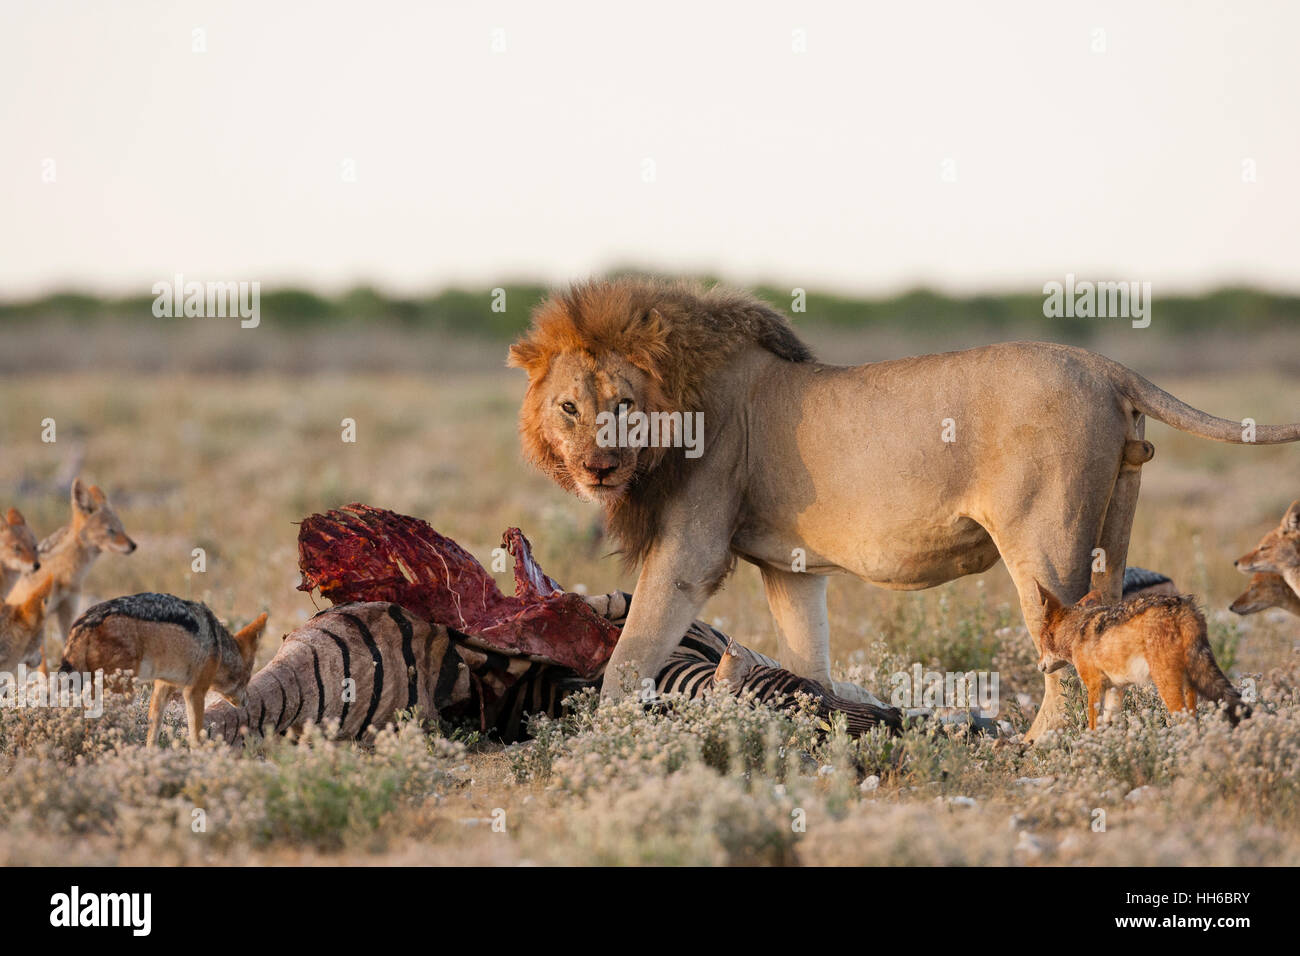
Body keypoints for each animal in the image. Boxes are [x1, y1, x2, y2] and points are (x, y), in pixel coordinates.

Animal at [508, 278, 1300, 740]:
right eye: (570, 408)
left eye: (623, 406)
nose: (597, 466)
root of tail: (1105, 365)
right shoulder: (791, 568)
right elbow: (810, 659)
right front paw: (817, 716)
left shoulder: (689, 553)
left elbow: (629, 657)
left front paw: (598, 740)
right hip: (1114, 520)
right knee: (1107, 624)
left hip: (1044, 539)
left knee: (1065, 640)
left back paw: (1044, 744)